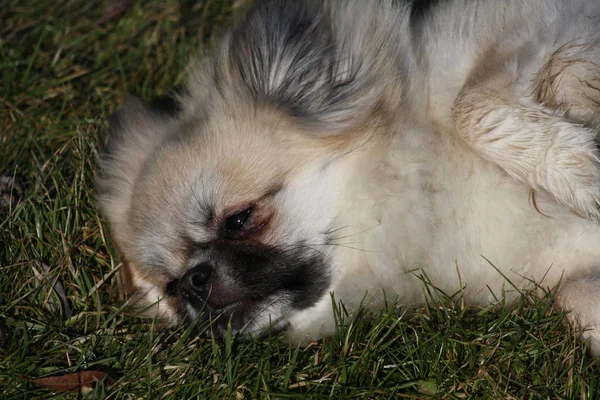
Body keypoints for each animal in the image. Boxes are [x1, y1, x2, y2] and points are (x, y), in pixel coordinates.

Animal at [95, 0, 600, 354]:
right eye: (171, 287)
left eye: (239, 219)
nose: (196, 282)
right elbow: (576, 300)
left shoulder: (546, 31)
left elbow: (470, 107)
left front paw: (582, 174)